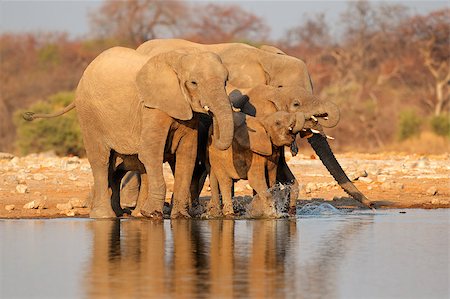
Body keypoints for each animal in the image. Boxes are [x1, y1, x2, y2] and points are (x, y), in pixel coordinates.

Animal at [24, 47, 234, 220]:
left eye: (225, 81)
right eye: (193, 83)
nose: (213, 132)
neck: (179, 58)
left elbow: (187, 155)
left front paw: (181, 217)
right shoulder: (151, 108)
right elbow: (150, 154)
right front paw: (152, 214)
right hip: (89, 115)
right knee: (100, 160)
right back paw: (104, 216)